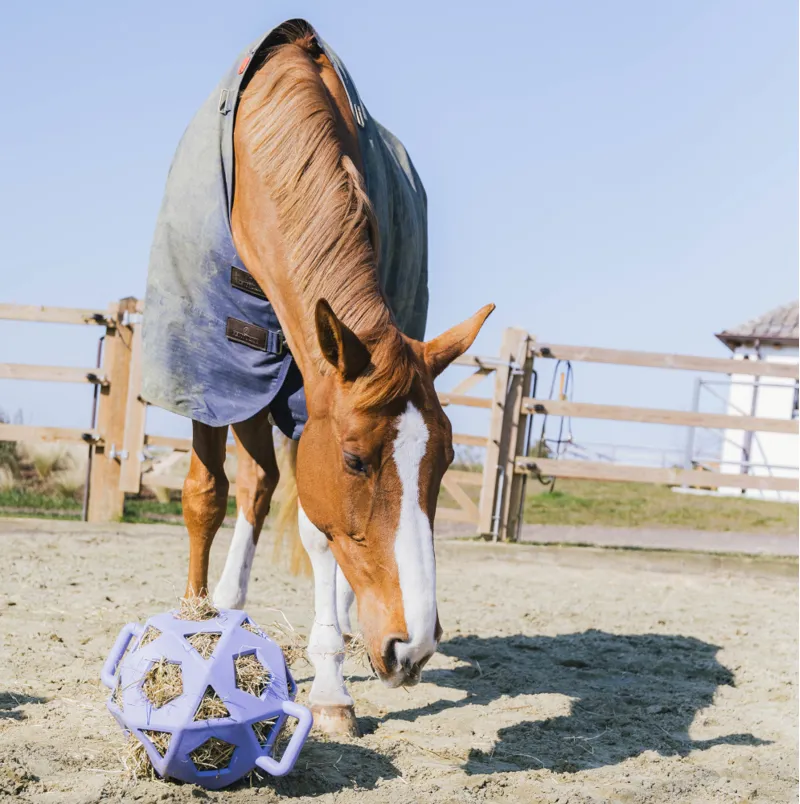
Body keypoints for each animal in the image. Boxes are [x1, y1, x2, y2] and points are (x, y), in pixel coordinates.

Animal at [141, 19, 493, 737]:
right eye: (356, 461)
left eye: (446, 463)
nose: (413, 647)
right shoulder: (210, 381)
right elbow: (203, 496)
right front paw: (192, 630)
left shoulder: (310, 400)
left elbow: (316, 531)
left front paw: (331, 687)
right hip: (248, 395)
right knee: (245, 488)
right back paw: (220, 607)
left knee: (267, 489)